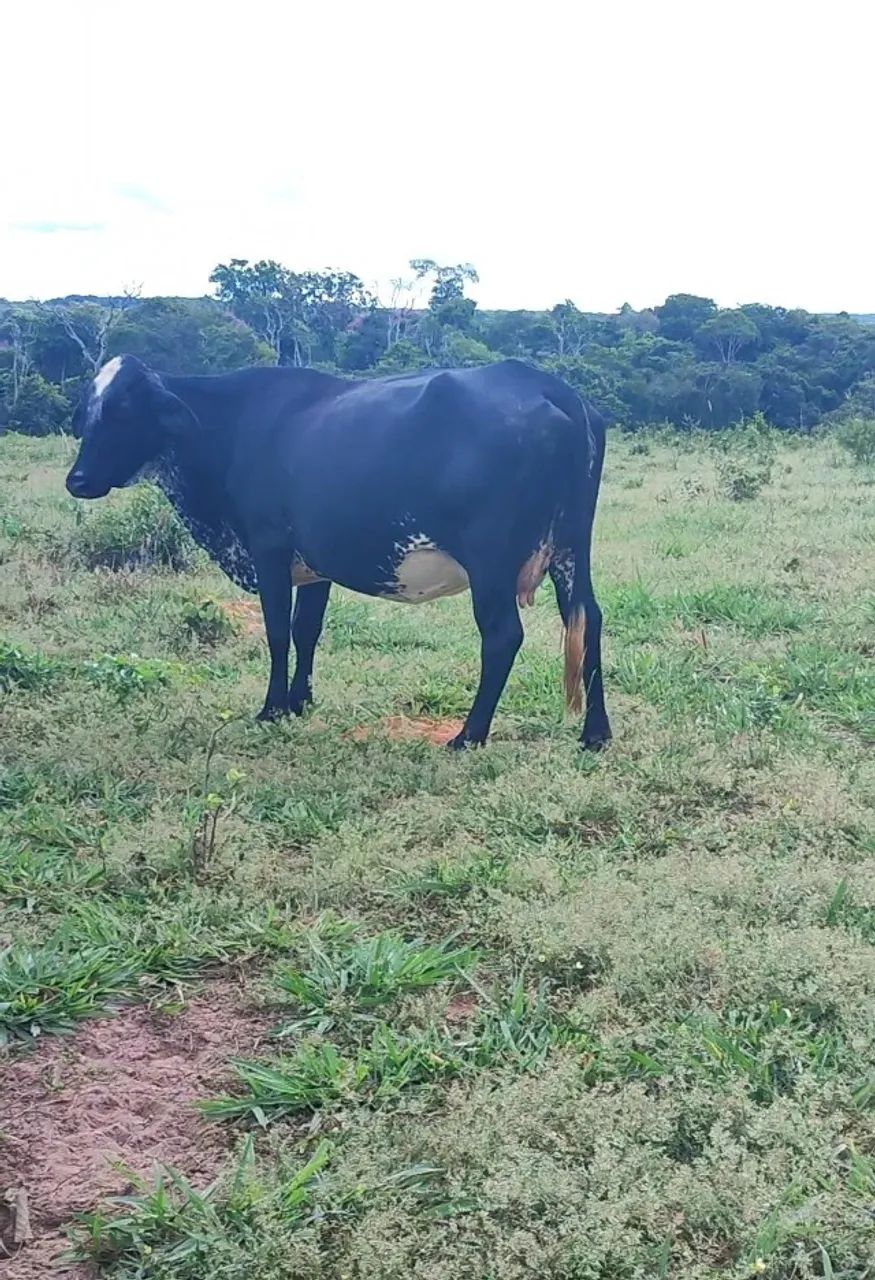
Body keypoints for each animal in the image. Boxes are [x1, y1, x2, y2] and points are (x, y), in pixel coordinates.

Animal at [65, 355, 611, 750]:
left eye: (124, 410)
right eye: (86, 413)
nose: (77, 480)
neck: (228, 429)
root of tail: (549, 386)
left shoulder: (268, 549)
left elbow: (276, 632)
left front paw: (272, 708)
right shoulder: (314, 566)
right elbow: (306, 631)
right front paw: (299, 700)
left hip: (489, 560)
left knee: (502, 636)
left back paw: (469, 735)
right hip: (572, 549)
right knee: (588, 619)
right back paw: (596, 733)